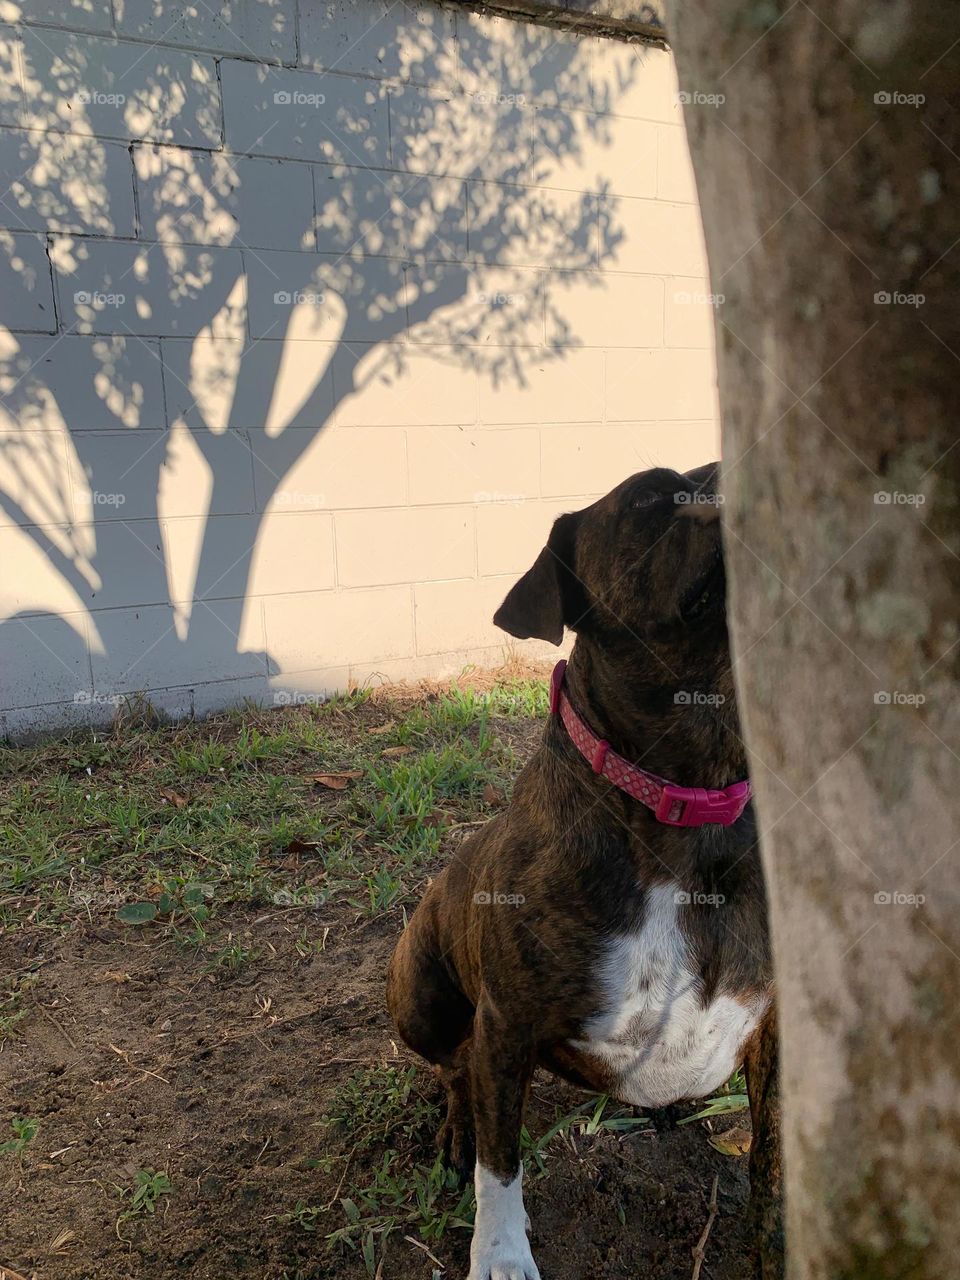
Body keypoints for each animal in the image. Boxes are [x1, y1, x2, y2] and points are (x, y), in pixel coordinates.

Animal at [386, 468, 783, 1280]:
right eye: (648, 498)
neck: (685, 802)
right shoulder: (505, 1024)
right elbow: (501, 1163)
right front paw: (500, 1254)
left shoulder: (775, 1028)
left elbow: (770, 1158)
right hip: (421, 999)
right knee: (454, 1071)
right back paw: (456, 1128)